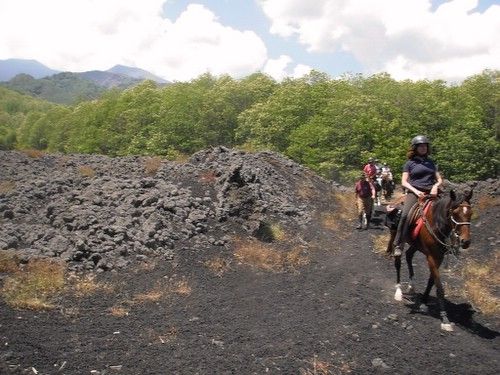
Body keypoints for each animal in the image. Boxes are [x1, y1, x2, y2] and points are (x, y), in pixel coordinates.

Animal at [386, 191, 472, 332]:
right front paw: (445, 319)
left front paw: (424, 302)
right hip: (397, 237)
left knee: (409, 256)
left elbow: (432, 281)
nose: (466, 242)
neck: (436, 224)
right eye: (455, 213)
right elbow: (439, 288)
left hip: (415, 244)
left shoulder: (439, 258)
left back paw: (411, 286)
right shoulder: (431, 257)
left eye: (470, 213)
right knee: (398, 262)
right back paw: (398, 291)